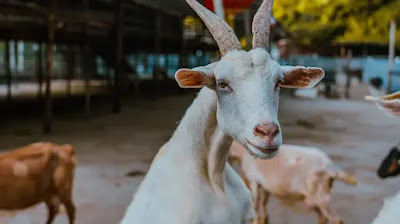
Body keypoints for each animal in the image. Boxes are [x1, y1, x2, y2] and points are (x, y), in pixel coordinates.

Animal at [228, 142, 356, 224]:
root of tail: (330, 165)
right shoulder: (265, 185)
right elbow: (264, 202)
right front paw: (264, 218)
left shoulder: (254, 180)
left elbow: (255, 203)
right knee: (324, 217)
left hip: (318, 194)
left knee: (336, 220)